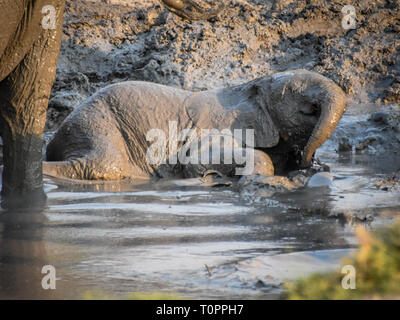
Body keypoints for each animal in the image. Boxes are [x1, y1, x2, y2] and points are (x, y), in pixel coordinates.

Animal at [44, 69, 346, 182]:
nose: (309, 160)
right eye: (292, 91)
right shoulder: (215, 128)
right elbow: (195, 161)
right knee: (102, 165)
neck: (247, 87)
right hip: (97, 123)